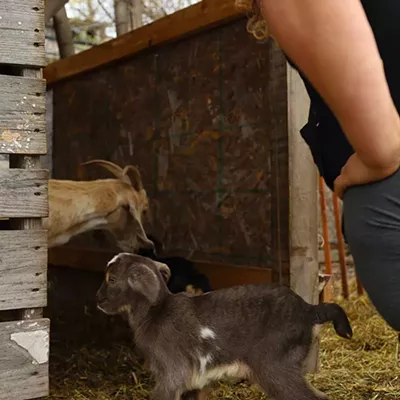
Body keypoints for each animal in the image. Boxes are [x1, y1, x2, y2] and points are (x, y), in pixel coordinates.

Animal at [97, 253, 354, 400]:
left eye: (112, 279)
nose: (98, 300)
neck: (157, 312)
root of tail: (308, 310)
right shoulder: (193, 381)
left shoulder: (173, 372)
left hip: (275, 364)